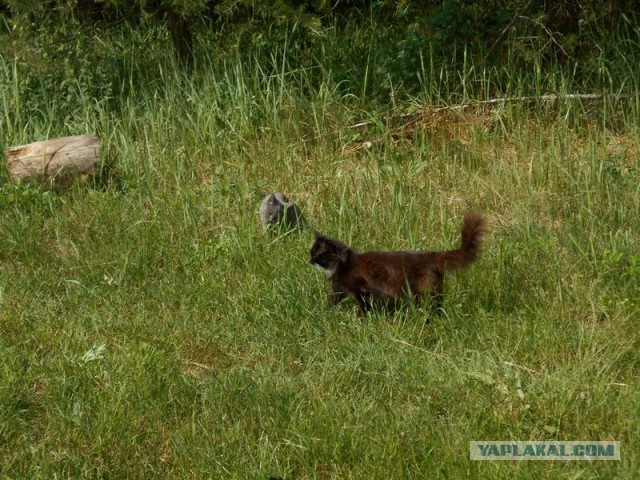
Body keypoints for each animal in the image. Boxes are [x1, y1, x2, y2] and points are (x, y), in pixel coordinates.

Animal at [310, 213, 484, 316]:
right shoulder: (339, 288)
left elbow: (363, 305)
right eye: (311, 253)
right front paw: (324, 312)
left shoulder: (361, 289)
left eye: (316, 255)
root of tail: (432, 255)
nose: (309, 260)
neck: (345, 263)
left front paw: (362, 319)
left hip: (416, 290)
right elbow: (332, 300)